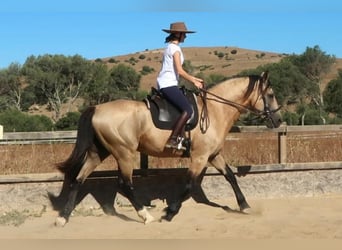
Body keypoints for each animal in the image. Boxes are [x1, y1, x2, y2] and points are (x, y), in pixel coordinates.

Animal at [54, 71, 284, 227]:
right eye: (271, 94)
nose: (279, 120)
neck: (215, 111)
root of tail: (97, 108)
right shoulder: (200, 157)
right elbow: (189, 184)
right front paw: (169, 212)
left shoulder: (213, 155)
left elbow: (230, 176)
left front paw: (245, 206)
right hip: (124, 153)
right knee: (124, 184)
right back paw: (146, 216)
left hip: (98, 153)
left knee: (78, 180)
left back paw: (63, 218)